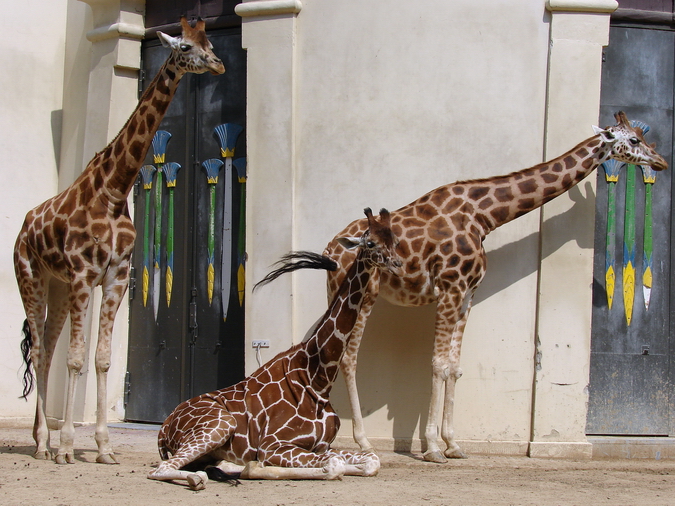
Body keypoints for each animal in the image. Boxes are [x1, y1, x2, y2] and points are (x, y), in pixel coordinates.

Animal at [13, 17, 224, 465]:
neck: (112, 190)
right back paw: (44, 444)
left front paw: (104, 448)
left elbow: (102, 359)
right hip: (31, 278)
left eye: (209, 43)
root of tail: (24, 226)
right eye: (184, 46)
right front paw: (69, 447)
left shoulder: (115, 276)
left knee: (47, 352)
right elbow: (77, 359)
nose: (218, 65)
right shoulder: (82, 274)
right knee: (39, 350)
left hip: (57, 288)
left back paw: (43, 440)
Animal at [147, 208, 403, 490]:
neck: (318, 379)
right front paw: (255, 467)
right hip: (220, 424)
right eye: (371, 243)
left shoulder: (322, 446)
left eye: (395, 241)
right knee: (162, 469)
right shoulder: (274, 445)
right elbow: (334, 466)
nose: (397, 264)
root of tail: (164, 427)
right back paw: (199, 478)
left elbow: (371, 461)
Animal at [323, 112, 668, 463]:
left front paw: (453, 444)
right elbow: (437, 364)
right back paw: (362, 442)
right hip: (364, 294)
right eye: (634, 140)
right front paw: (432, 448)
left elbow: (453, 367)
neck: (483, 215)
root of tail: (331, 250)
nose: (661, 161)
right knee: (348, 357)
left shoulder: (467, 294)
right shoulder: (450, 287)